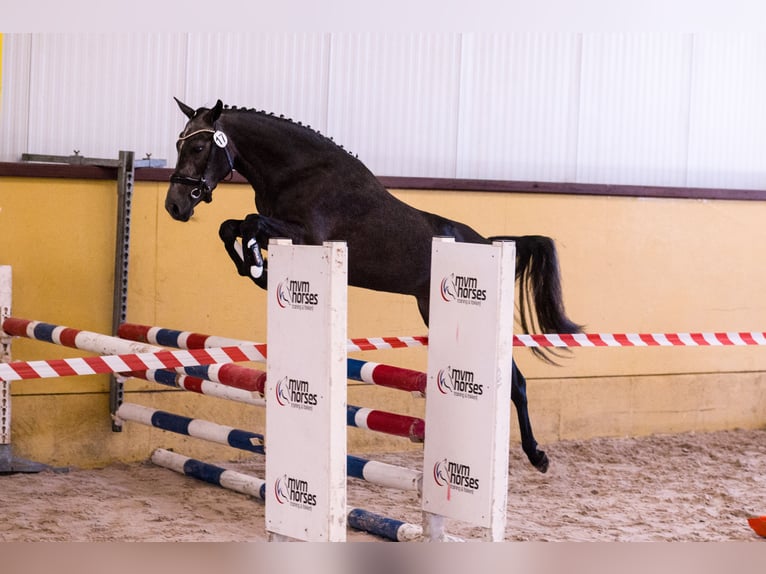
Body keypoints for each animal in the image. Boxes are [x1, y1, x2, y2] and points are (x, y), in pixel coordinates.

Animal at [165, 98, 582, 473]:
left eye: (198, 147)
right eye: (179, 144)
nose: (175, 206)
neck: (298, 173)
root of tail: (487, 243)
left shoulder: (306, 236)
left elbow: (250, 223)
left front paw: (256, 266)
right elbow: (231, 227)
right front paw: (251, 265)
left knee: (517, 382)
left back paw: (537, 455)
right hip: (432, 308)